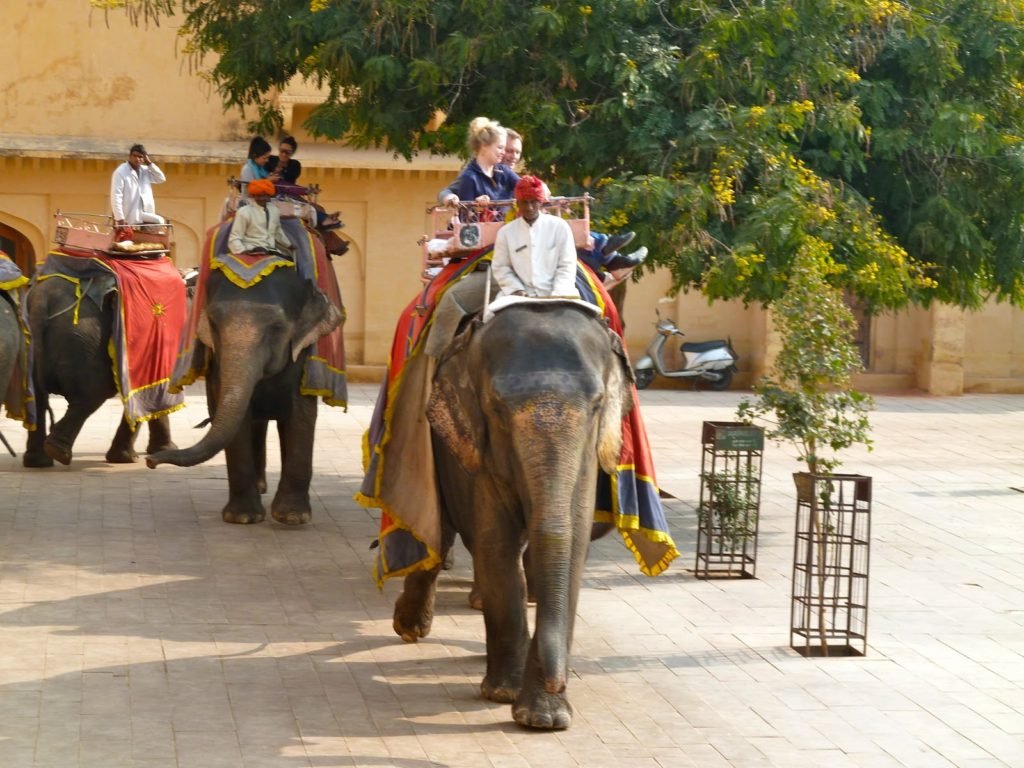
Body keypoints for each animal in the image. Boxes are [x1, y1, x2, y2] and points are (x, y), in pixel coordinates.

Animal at [24, 268, 180, 468]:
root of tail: (41, 301)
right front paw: (134, 457)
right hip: (84, 341)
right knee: (93, 393)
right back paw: (58, 452)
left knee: (37, 397)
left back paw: (38, 461)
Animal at [146, 266, 342, 528]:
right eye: (213, 323)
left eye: (277, 327)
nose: (150, 462)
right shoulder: (217, 363)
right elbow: (239, 419)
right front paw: (243, 518)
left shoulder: (303, 357)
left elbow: (301, 415)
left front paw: (292, 517)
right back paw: (259, 488)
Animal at [389, 303, 630, 733]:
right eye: (497, 408)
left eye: (598, 405)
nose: (558, 679)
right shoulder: (475, 445)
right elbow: (494, 541)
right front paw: (505, 695)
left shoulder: (589, 454)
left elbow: (572, 545)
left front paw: (545, 718)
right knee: (440, 530)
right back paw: (410, 628)